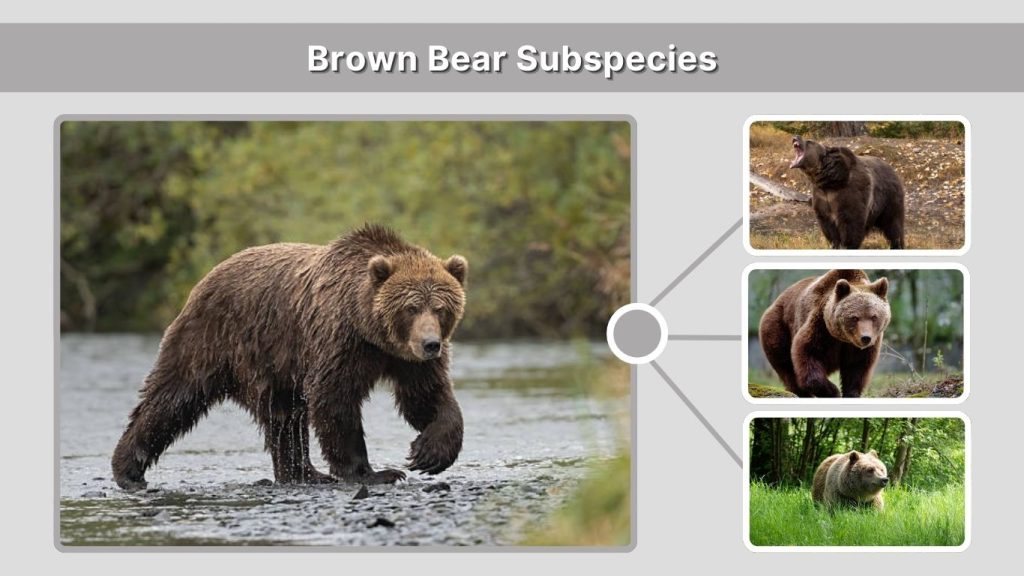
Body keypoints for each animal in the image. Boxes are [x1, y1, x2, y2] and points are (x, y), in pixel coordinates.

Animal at [111, 224, 468, 491]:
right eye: (411, 307)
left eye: (440, 308)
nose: (430, 344)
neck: (371, 330)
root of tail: (206, 277)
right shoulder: (338, 342)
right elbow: (334, 399)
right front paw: (375, 472)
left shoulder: (406, 361)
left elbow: (425, 397)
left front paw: (429, 453)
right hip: (214, 339)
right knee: (173, 398)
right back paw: (128, 469)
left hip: (273, 369)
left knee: (284, 418)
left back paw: (305, 473)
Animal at [758, 269, 891, 398]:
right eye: (854, 317)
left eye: (874, 316)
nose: (865, 338)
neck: (843, 338)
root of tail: (775, 302)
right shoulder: (821, 326)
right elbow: (808, 353)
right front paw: (833, 391)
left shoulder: (859, 346)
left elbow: (857, 366)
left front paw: (851, 393)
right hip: (778, 328)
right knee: (786, 365)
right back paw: (802, 393)